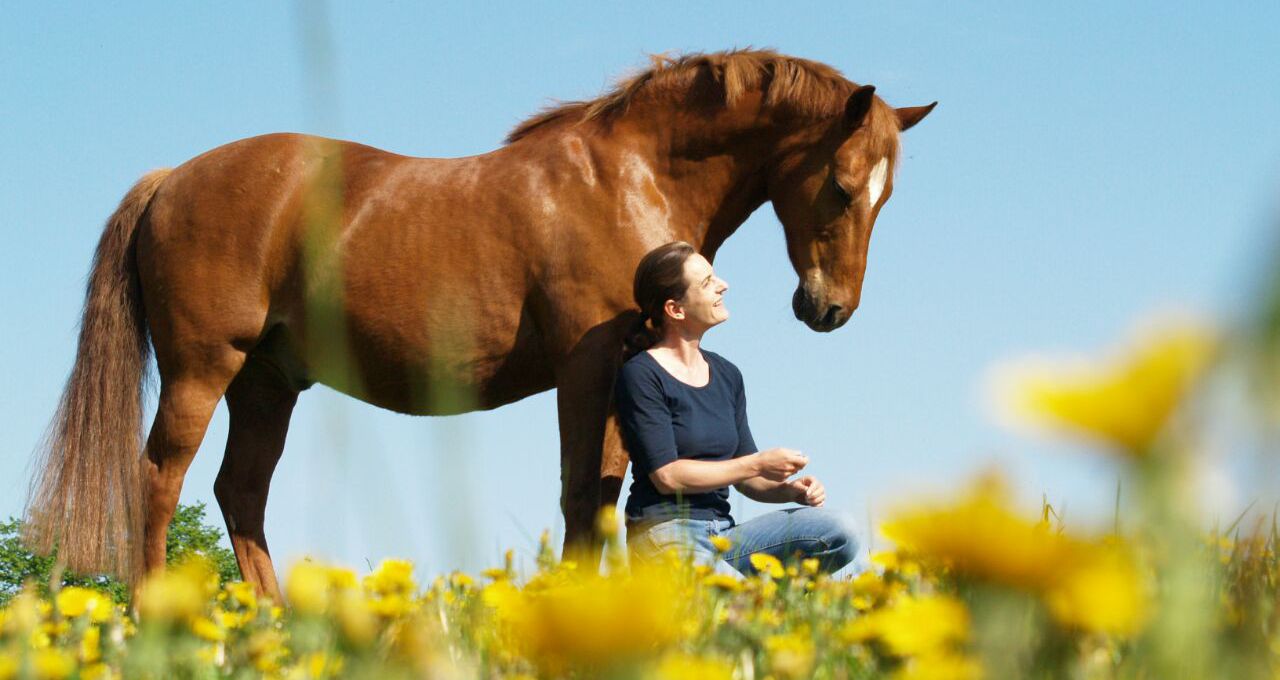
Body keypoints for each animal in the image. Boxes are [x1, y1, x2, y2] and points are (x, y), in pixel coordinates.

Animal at [24, 49, 934, 599]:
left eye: (888, 193)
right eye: (843, 186)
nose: (829, 309)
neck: (627, 176)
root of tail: (172, 178)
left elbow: (601, 496)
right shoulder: (588, 369)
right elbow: (583, 495)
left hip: (267, 385)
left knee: (239, 494)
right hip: (203, 370)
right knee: (158, 480)